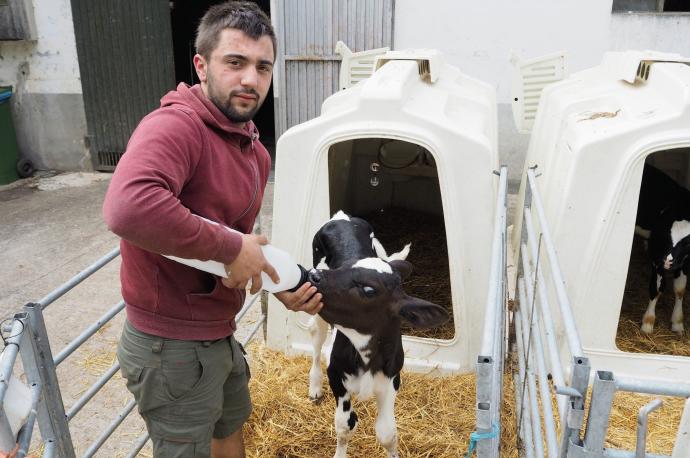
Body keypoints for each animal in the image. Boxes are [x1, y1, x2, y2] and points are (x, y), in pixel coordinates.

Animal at [306, 211, 446, 458]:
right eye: (341, 269)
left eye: (369, 289)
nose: (314, 276)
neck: (367, 357)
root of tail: (341, 216)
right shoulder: (337, 377)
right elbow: (345, 426)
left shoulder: (391, 380)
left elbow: (387, 433)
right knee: (316, 338)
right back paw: (314, 387)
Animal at [632, 164, 688, 332]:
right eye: (664, 235)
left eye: (687, 242)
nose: (668, 262)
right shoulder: (657, 256)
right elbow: (657, 289)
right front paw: (648, 323)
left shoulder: (686, 262)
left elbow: (680, 289)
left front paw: (678, 323)